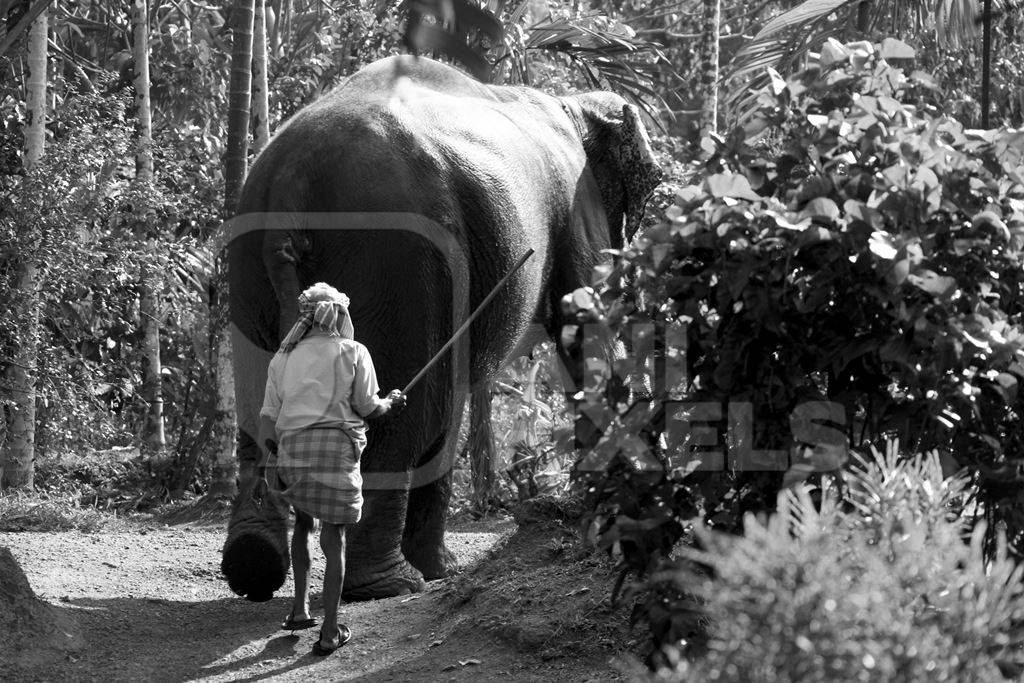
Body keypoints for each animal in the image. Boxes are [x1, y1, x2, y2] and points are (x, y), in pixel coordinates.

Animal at [220, 54, 659, 602]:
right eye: (653, 181)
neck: (573, 104)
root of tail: (290, 184)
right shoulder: (576, 211)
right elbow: (584, 333)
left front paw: (441, 570)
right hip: (397, 264)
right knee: (400, 419)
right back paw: (389, 584)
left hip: (248, 265)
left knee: (260, 417)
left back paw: (255, 566)